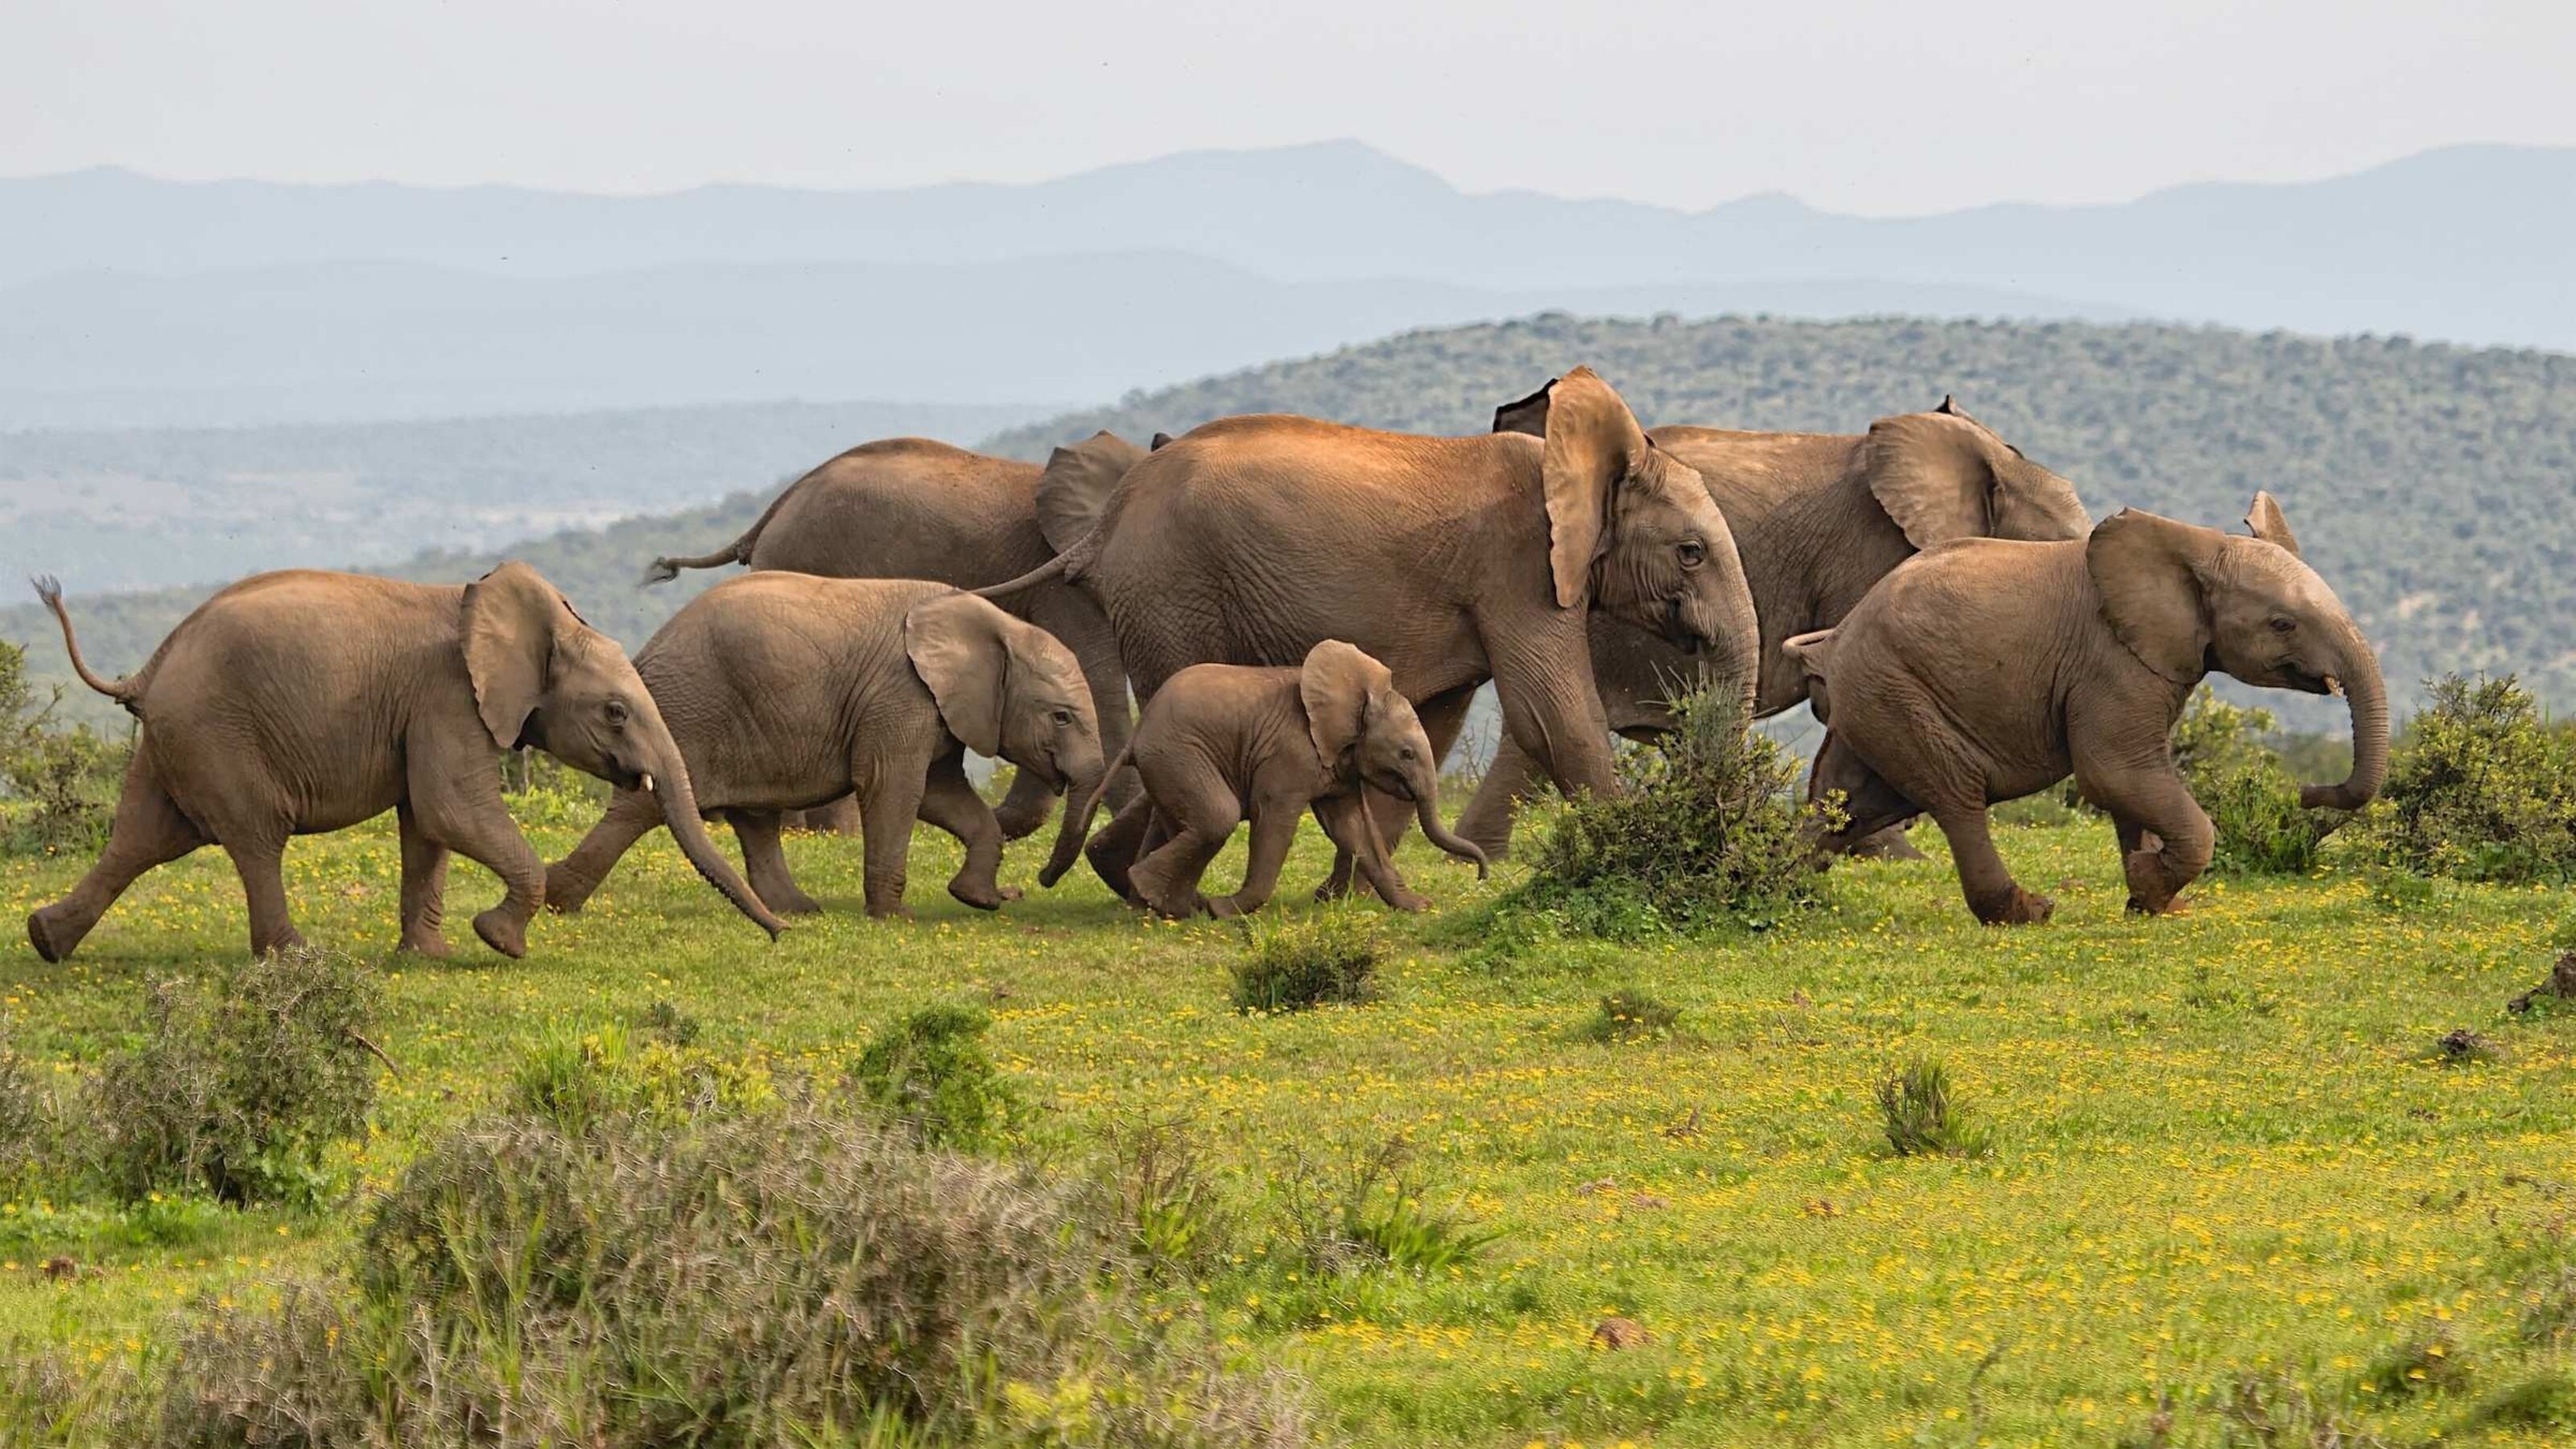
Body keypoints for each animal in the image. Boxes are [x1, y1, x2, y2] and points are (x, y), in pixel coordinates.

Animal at [25, 566, 785, 962]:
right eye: (617, 712)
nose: (783, 935)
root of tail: (149, 668)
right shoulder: (448, 697)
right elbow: (451, 807)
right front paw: (500, 943)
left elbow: (427, 824)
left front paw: (430, 958)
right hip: (218, 735)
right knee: (255, 836)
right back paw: (298, 959)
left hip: (173, 741)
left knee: (140, 839)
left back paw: (46, 942)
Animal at [545, 575, 1106, 921]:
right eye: (1061, 716)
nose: (1035, 883)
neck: (997, 625)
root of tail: (647, 650)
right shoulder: (902, 694)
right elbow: (892, 785)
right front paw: (896, 918)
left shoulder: (935, 707)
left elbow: (939, 795)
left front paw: (979, 899)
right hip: (687, 711)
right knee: (640, 807)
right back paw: (556, 899)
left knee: (755, 818)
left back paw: (798, 909)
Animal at [1044, 640, 1488, 917]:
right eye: (1406, 753)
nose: (1483, 877)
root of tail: (1137, 737)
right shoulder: (1289, 755)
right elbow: (1274, 821)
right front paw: (1226, 909)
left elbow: (1353, 828)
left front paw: (1417, 906)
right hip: (1178, 755)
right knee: (1217, 817)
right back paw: (1182, 905)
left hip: (1168, 765)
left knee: (1182, 823)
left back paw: (1166, 907)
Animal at [1782, 493, 2387, 925]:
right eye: (2283, 624)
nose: (2307, 792)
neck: (2197, 545)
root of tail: (1835, 640)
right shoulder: (2111, 661)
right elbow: (2116, 773)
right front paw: (2149, 883)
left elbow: (2134, 784)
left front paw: (2153, 902)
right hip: (1895, 689)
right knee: (1956, 794)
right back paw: (2029, 912)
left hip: (1875, 697)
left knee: (1846, 805)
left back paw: (1792, 891)